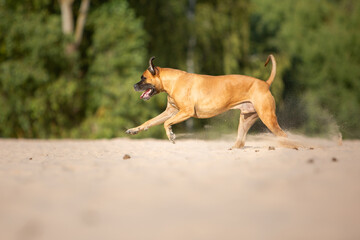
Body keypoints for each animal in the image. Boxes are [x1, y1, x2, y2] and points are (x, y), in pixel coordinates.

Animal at [126, 55, 286, 148]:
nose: (133, 86)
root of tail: (265, 84)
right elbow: (150, 121)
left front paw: (171, 135)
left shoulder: (186, 112)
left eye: (143, 78)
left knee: (283, 135)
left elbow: (166, 123)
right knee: (240, 142)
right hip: (246, 120)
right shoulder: (170, 111)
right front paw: (134, 129)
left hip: (268, 118)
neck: (173, 81)